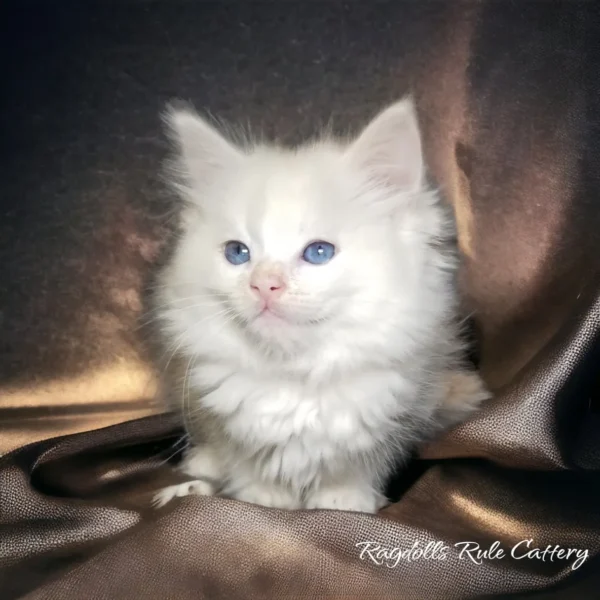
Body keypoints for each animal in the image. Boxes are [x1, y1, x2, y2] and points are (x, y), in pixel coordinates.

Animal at [149, 98, 488, 510]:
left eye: (319, 252)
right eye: (237, 253)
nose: (264, 284)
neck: (296, 375)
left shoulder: (395, 414)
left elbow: (355, 470)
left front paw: (343, 502)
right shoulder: (222, 414)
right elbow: (248, 467)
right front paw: (263, 499)